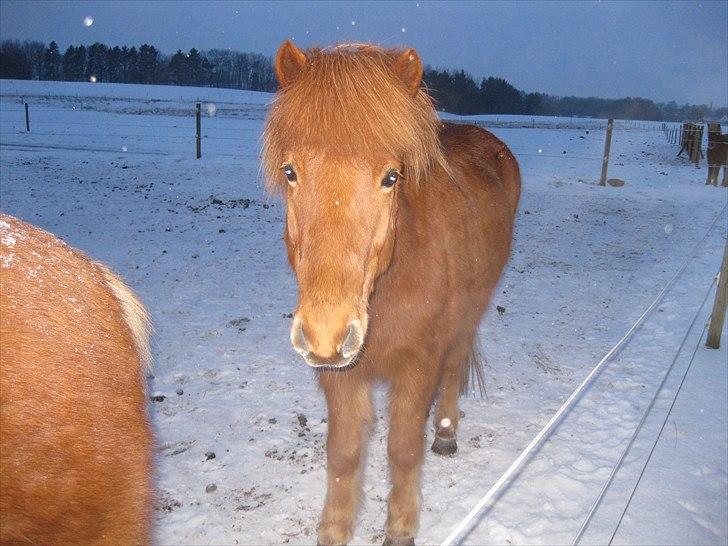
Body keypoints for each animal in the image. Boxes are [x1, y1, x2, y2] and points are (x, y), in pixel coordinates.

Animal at [264, 42, 520, 544]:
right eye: (290, 171)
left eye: (391, 177)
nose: (326, 332)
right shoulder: (340, 374)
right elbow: (343, 454)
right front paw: (334, 529)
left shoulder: (417, 366)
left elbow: (403, 449)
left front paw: (401, 526)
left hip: (468, 316)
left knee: (454, 365)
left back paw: (446, 434)